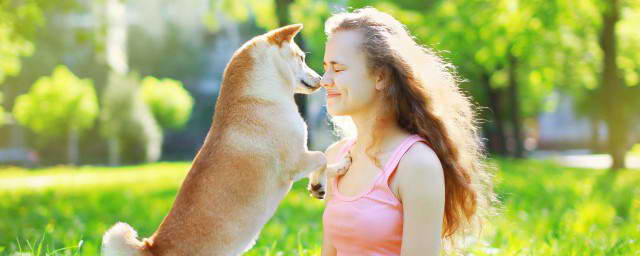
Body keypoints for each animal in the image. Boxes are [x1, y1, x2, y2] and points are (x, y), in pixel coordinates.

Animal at [102, 24, 350, 256]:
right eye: (302, 58)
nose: (321, 79)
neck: (257, 97)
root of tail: (151, 247)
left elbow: (326, 162)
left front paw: (331, 175)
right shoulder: (294, 161)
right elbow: (321, 157)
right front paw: (320, 181)